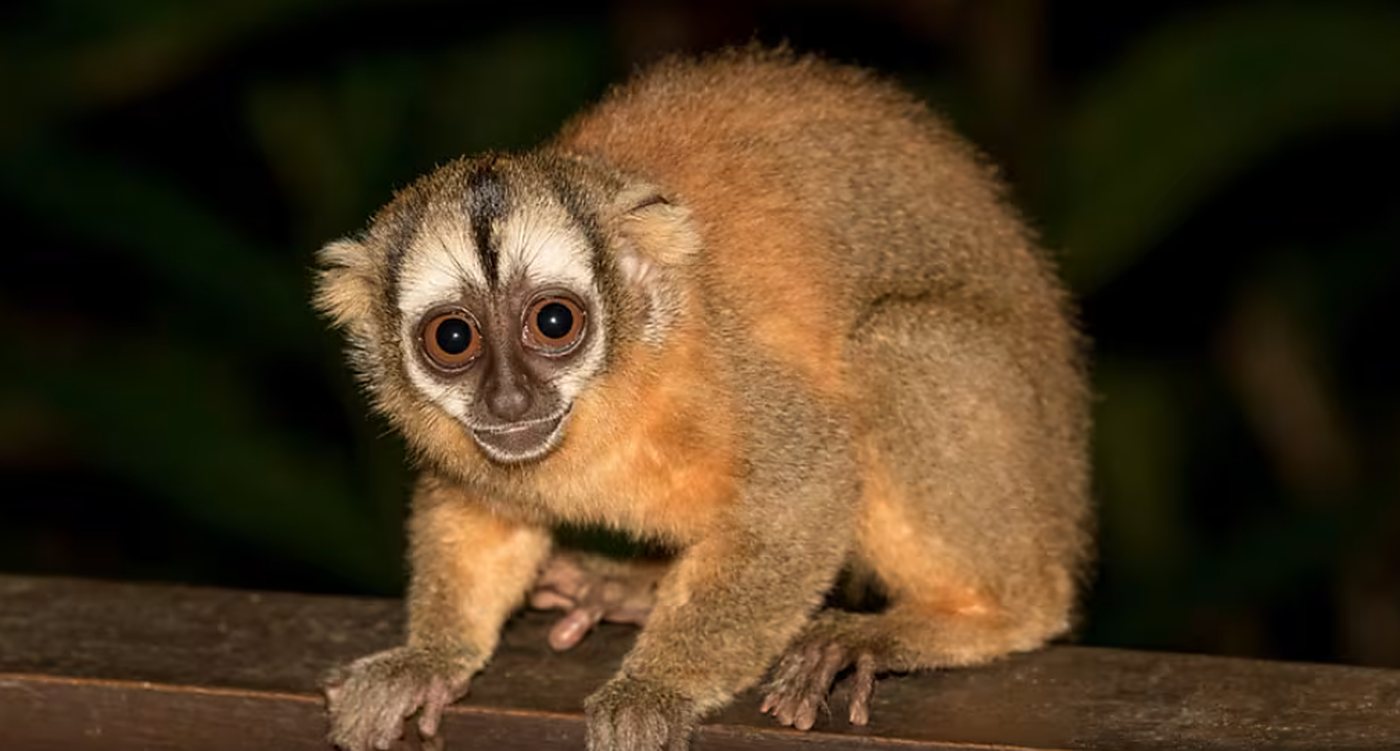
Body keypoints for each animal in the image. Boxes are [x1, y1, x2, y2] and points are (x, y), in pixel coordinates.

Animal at [314, 47, 1091, 751]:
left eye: (554, 322)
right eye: (453, 338)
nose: (508, 400)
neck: (608, 399)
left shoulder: (726, 374)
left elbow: (806, 489)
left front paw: (655, 687)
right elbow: (482, 511)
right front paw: (428, 660)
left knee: (896, 341)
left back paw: (979, 617)